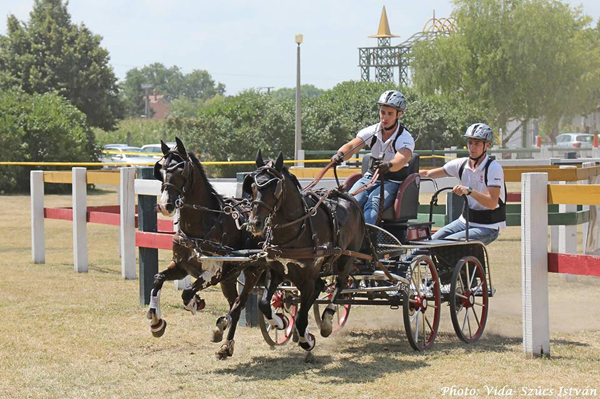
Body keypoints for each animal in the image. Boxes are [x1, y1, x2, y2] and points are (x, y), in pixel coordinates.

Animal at [148, 138, 262, 360]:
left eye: (181, 169)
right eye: (161, 170)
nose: (165, 205)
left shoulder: (213, 272)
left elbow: (187, 293)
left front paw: (195, 302)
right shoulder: (181, 266)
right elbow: (158, 279)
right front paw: (156, 322)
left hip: (252, 272)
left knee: (238, 305)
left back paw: (224, 339)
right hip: (229, 278)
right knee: (233, 303)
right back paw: (223, 336)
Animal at [244, 152, 366, 352]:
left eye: (275, 188)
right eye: (253, 186)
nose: (255, 223)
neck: (296, 230)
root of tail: (347, 196)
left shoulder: (307, 279)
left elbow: (301, 317)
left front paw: (306, 339)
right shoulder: (276, 272)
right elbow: (264, 304)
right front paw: (279, 322)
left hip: (345, 258)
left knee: (340, 284)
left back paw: (327, 320)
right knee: (322, 286)